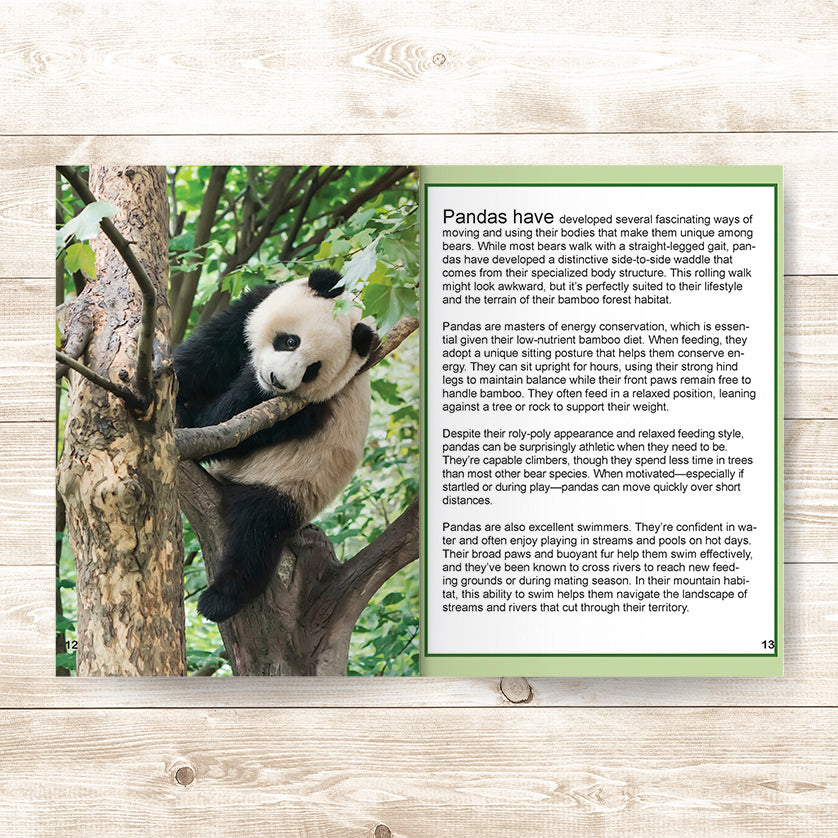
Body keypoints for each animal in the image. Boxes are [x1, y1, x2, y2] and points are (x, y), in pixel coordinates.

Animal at [174, 268, 378, 623]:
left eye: (313, 370)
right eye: (290, 341)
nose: (278, 381)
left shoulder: (310, 407)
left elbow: (233, 426)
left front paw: (188, 419)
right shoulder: (249, 310)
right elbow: (205, 356)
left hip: (291, 484)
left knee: (257, 533)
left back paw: (220, 599)